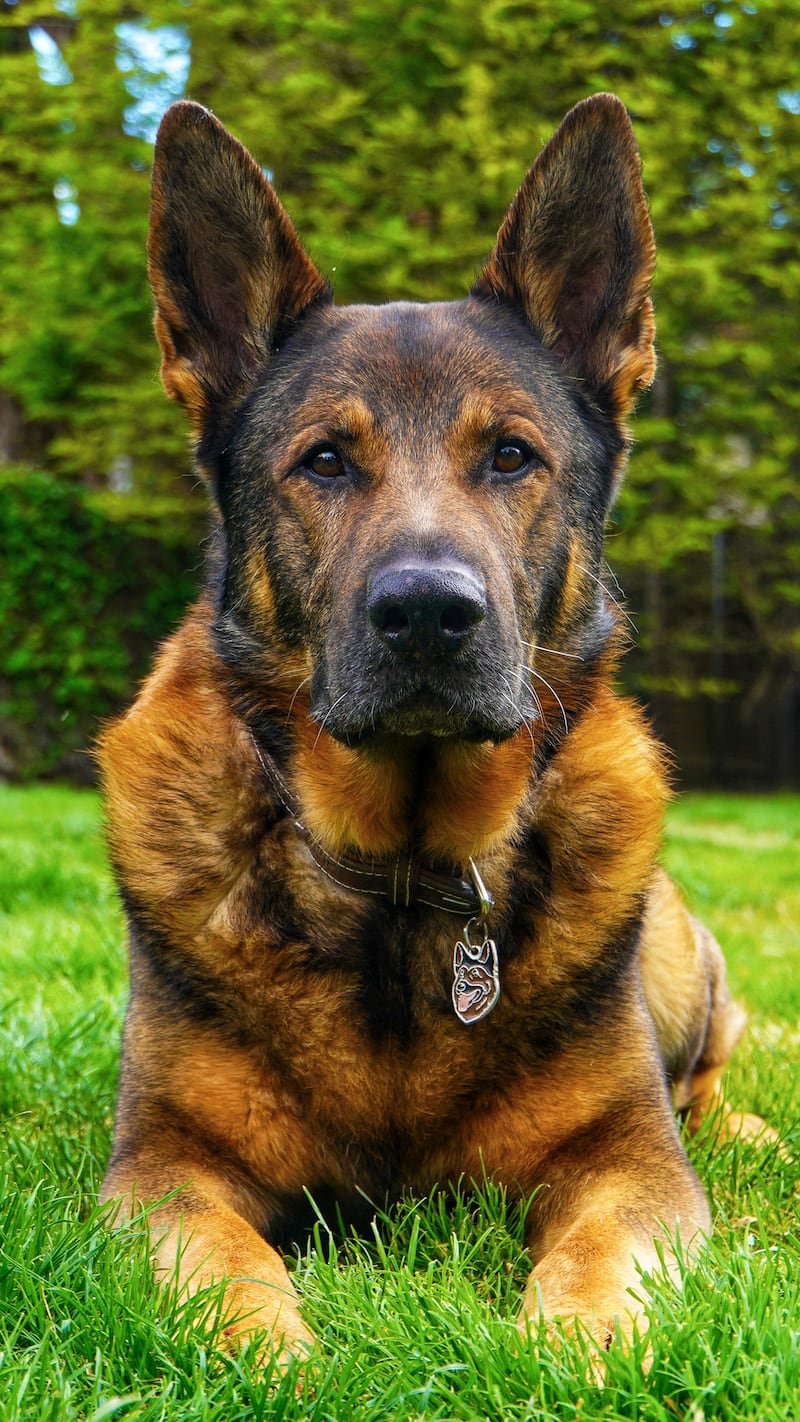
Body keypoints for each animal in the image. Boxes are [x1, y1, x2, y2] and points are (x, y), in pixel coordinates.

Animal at [98, 94, 761, 1359]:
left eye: (509, 455)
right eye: (323, 461)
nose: (425, 614)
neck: (403, 885)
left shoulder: (630, 1163)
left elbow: (603, 1256)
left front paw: (572, 1351)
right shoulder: (162, 1164)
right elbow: (220, 1263)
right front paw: (274, 1358)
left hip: (681, 968)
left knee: (709, 1075)